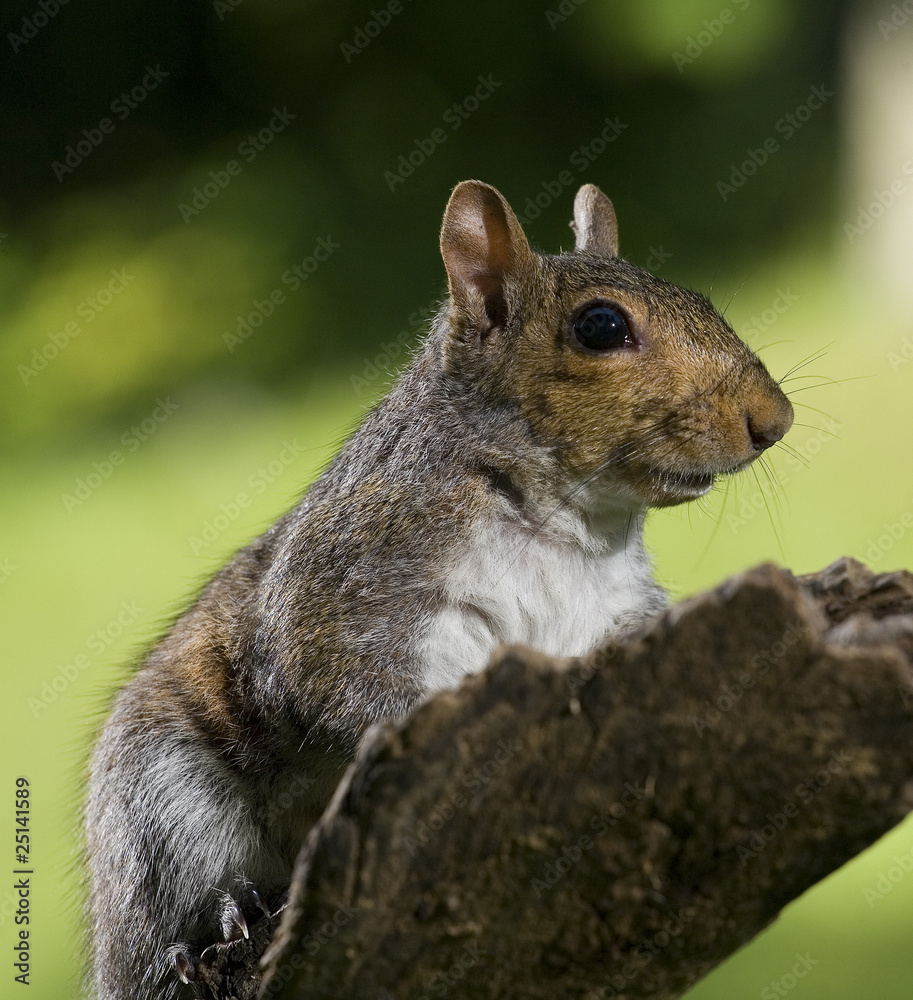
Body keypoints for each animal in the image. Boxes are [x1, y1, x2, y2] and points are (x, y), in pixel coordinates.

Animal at [85, 180, 793, 999]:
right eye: (601, 326)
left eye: (703, 299)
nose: (774, 420)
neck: (565, 528)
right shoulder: (347, 588)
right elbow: (343, 690)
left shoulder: (617, 610)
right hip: (164, 798)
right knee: (169, 904)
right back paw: (224, 914)